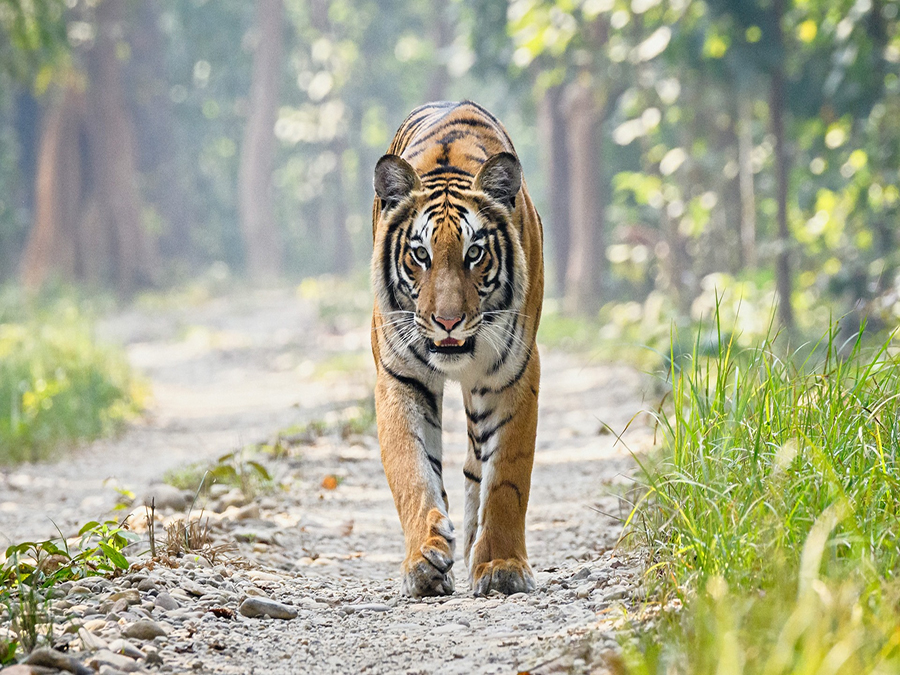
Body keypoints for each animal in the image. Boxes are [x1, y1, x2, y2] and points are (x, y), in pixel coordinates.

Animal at [370, 100, 544, 597]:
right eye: (420, 255)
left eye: (474, 254)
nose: (447, 321)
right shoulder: (400, 377)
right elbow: (411, 470)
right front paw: (424, 560)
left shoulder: (513, 375)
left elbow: (506, 477)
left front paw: (502, 565)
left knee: (475, 465)